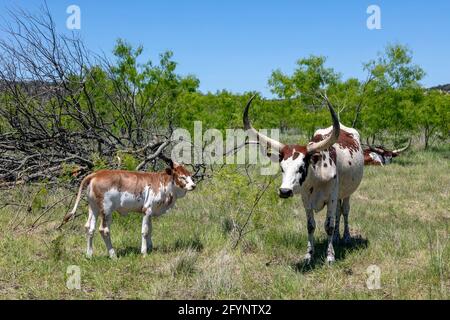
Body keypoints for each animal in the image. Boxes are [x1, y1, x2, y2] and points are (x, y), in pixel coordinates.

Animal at [59, 156, 195, 258]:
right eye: (182, 176)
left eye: (190, 175)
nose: (193, 185)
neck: (163, 183)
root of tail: (96, 174)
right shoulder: (147, 209)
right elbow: (145, 231)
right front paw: (144, 252)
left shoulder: (150, 212)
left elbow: (150, 229)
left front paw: (150, 247)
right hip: (106, 210)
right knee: (104, 230)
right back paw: (113, 255)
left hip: (93, 208)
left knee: (89, 228)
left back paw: (89, 254)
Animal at [244, 95, 364, 264]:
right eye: (282, 168)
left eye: (301, 167)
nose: (284, 191)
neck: (317, 175)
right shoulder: (306, 199)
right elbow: (311, 225)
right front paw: (309, 254)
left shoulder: (332, 198)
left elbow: (329, 225)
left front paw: (330, 256)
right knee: (338, 213)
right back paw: (337, 237)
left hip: (346, 193)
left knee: (344, 211)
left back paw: (345, 237)